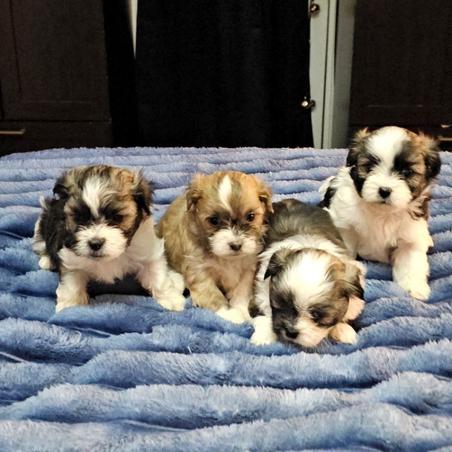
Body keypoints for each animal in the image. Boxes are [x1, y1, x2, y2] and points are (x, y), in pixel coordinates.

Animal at [33, 165, 185, 312]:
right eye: (80, 218)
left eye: (116, 217)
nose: (95, 243)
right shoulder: (70, 257)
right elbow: (71, 282)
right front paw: (70, 306)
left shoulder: (146, 248)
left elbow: (157, 276)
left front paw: (171, 298)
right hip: (44, 225)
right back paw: (47, 260)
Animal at [158, 171, 272, 323]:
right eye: (214, 220)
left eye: (251, 216)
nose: (236, 245)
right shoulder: (198, 269)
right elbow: (211, 293)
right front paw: (229, 314)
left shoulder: (248, 268)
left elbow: (241, 292)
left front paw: (241, 310)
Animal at [250, 199, 365, 348]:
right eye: (282, 304)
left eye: (316, 315)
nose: (291, 331)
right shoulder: (260, 290)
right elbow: (263, 312)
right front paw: (263, 336)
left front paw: (344, 330)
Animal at [320, 126, 441, 301]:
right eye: (369, 167)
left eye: (406, 172)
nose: (384, 190)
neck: (383, 213)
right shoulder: (345, 226)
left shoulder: (410, 236)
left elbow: (411, 262)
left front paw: (414, 287)